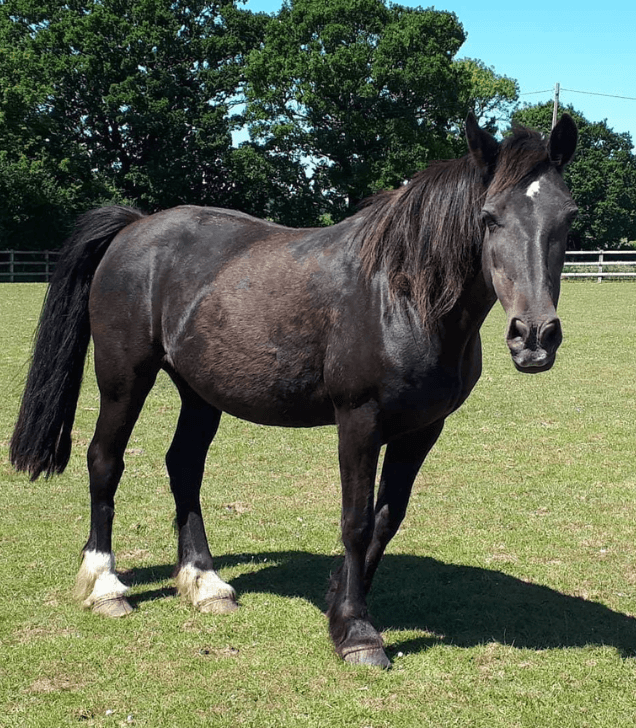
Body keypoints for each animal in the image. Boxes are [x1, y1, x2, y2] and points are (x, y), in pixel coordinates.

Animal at [10, 113, 578, 668]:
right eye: (489, 217)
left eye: (568, 217)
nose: (534, 336)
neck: (403, 294)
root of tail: (134, 226)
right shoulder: (359, 421)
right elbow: (355, 521)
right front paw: (356, 632)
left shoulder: (423, 428)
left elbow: (386, 519)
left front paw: (340, 601)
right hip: (124, 380)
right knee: (105, 461)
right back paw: (106, 585)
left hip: (200, 392)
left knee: (184, 466)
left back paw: (205, 583)